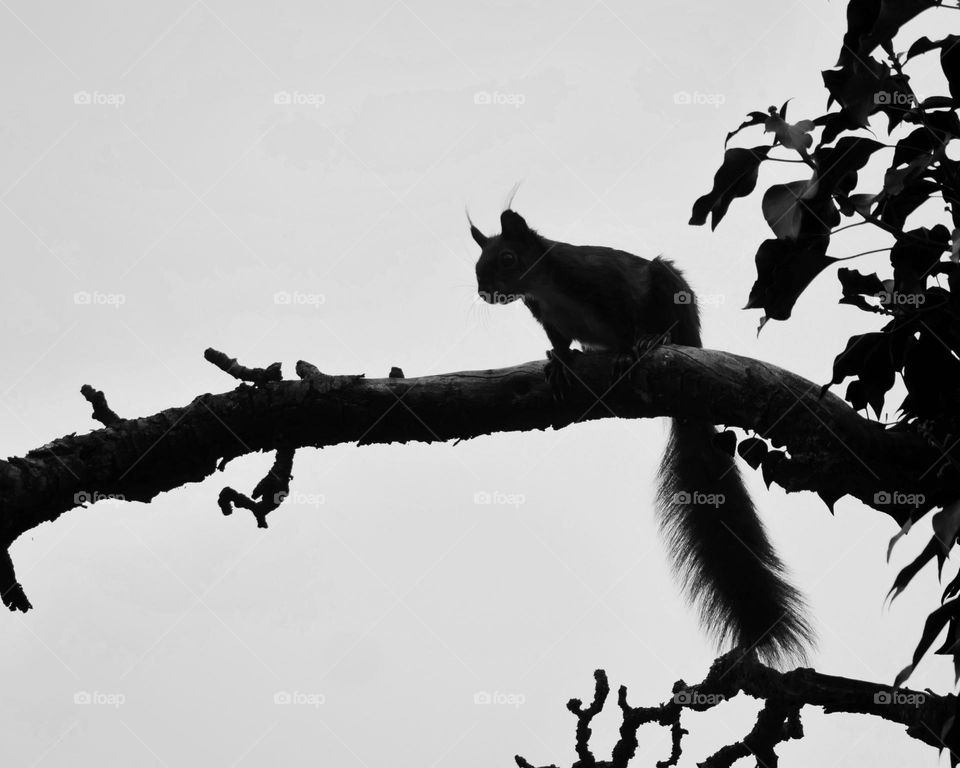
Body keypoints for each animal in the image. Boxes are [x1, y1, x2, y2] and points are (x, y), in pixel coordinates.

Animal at [471, 208, 813, 664]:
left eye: (507, 258)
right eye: (478, 264)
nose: (483, 291)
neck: (545, 285)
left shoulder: (602, 280)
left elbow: (625, 317)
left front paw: (633, 346)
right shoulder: (546, 315)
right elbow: (559, 340)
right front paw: (560, 360)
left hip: (672, 291)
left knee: (668, 321)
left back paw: (656, 340)